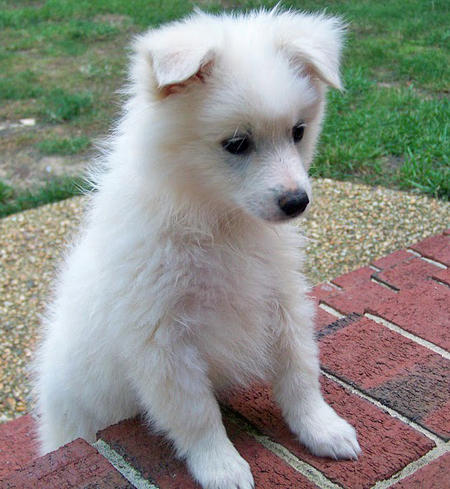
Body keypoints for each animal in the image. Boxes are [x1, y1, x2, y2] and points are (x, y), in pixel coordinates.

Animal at [36, 8, 362, 488]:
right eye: (237, 143)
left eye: (298, 132)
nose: (296, 202)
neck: (217, 219)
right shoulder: (162, 337)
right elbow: (196, 413)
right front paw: (222, 466)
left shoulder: (281, 298)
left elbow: (299, 369)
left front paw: (322, 428)